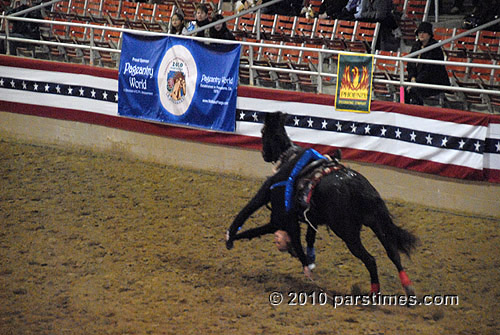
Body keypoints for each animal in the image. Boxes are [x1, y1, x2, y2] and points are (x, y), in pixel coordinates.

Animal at [226, 111, 418, 296]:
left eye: (262, 132)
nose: (264, 154)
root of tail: (357, 185)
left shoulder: (278, 216)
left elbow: (254, 218)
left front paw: (231, 237)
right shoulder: (312, 218)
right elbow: (309, 237)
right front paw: (309, 260)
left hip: (347, 233)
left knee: (370, 259)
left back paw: (374, 293)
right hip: (376, 222)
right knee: (392, 252)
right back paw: (407, 287)